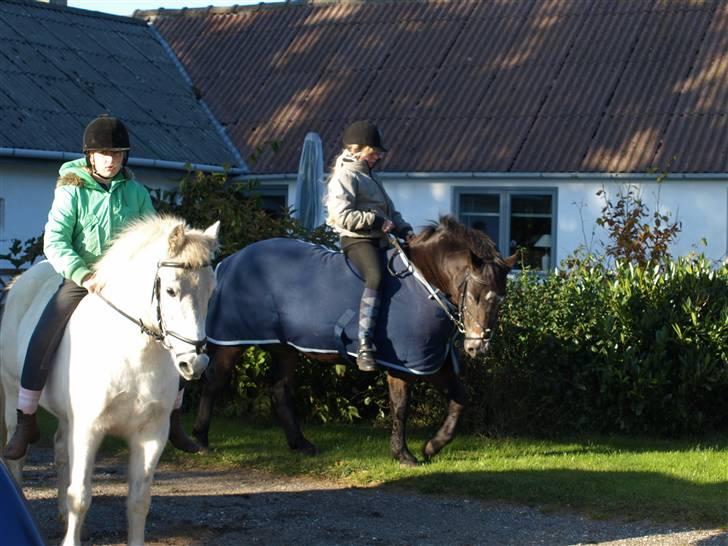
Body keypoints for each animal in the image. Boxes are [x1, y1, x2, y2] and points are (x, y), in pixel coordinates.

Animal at [0, 216, 219, 544]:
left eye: (211, 292)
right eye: (170, 290)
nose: (195, 363)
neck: (132, 354)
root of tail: (20, 283)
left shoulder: (151, 434)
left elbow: (139, 501)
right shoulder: (89, 428)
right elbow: (80, 496)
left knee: (61, 451)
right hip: (14, 395)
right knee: (19, 455)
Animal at [191, 217, 516, 464]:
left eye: (501, 299)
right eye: (475, 296)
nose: (477, 346)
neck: (424, 282)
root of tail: (231, 261)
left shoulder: (430, 361)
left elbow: (460, 398)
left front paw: (432, 446)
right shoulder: (404, 365)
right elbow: (401, 407)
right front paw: (403, 455)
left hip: (284, 348)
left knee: (279, 391)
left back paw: (302, 444)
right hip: (232, 342)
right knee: (213, 382)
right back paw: (200, 439)